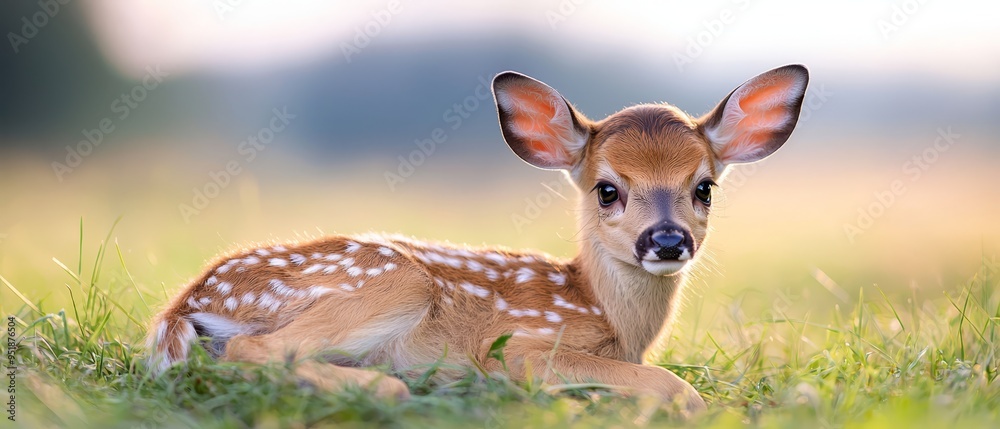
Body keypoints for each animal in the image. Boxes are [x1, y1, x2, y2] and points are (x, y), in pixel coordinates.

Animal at [148, 64, 808, 412]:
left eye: (704, 188)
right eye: (607, 190)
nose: (667, 241)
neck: (614, 323)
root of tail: (188, 303)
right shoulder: (522, 345)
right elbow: (680, 389)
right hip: (397, 283)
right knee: (249, 351)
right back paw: (387, 386)